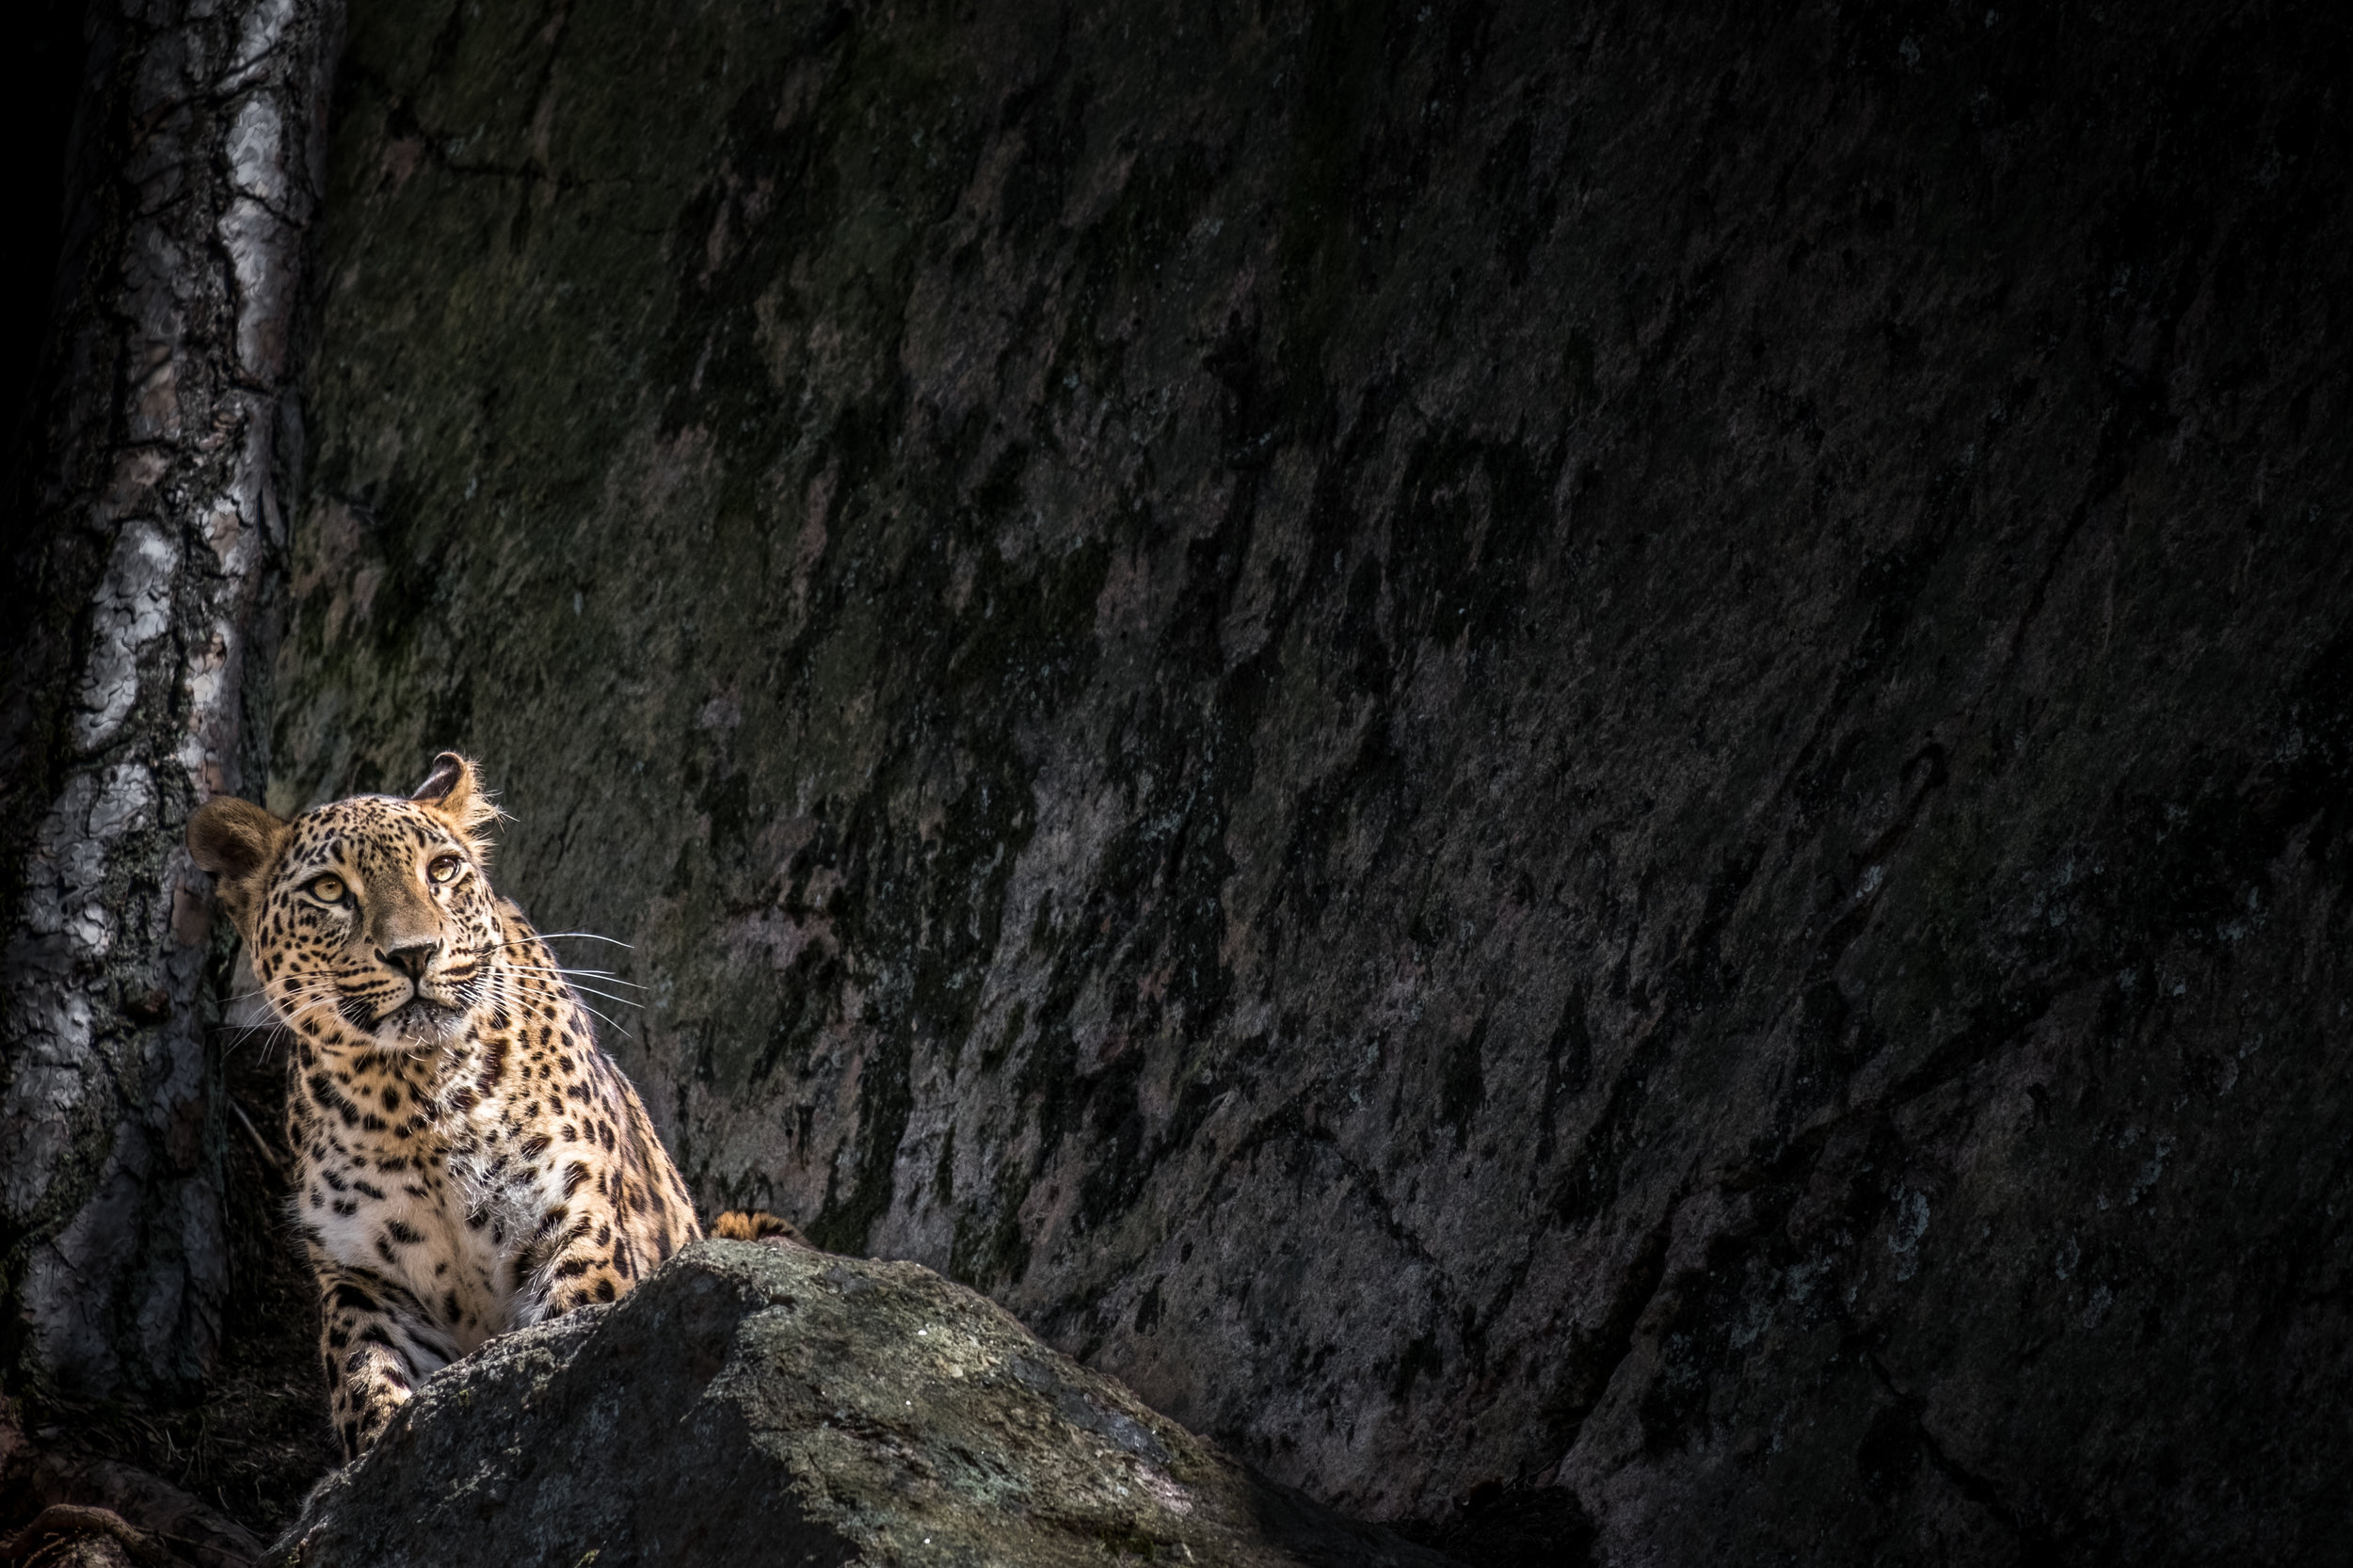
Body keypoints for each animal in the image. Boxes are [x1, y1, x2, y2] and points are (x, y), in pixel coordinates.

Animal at [189, 752, 796, 1460]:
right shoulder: (365, 1282)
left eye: (442, 870)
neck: (410, 1099)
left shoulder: (574, 1217)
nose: (415, 953)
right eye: (330, 890)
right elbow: (366, 1385)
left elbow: (569, 1324)